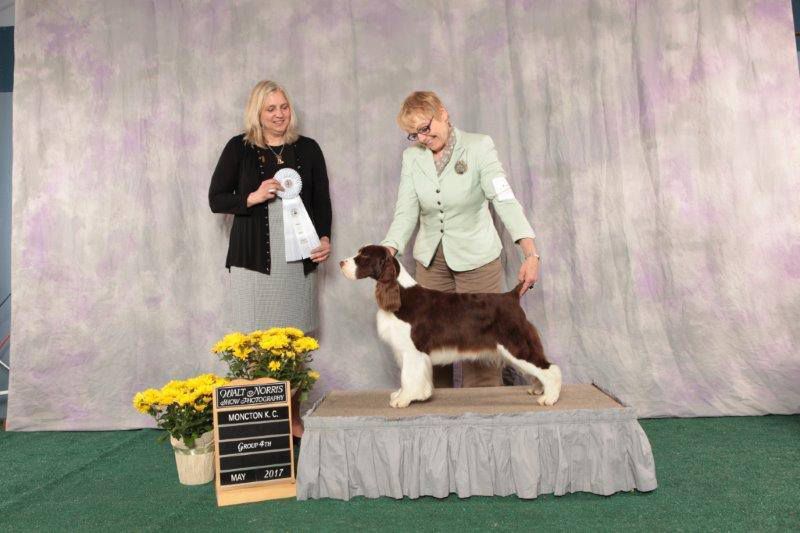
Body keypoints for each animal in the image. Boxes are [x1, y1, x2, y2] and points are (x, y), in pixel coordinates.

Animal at [340, 245, 564, 408]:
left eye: (364, 256)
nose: (341, 262)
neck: (401, 294)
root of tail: (512, 296)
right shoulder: (408, 352)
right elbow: (409, 376)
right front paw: (406, 395)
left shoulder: (413, 350)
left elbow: (408, 376)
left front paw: (404, 400)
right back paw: (538, 389)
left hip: (515, 343)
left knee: (550, 368)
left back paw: (549, 398)